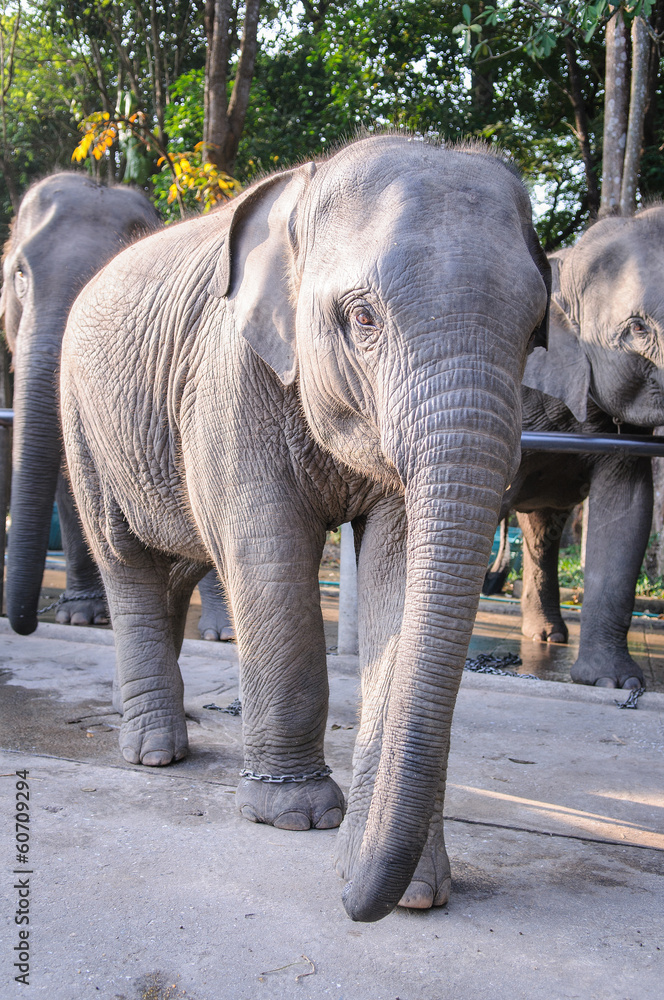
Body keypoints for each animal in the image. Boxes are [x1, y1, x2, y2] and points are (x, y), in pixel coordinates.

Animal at [59, 135, 549, 921]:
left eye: (536, 331)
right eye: (364, 318)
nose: (350, 904)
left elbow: (397, 576)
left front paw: (412, 886)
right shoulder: (229, 378)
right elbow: (268, 557)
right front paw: (295, 818)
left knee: (178, 563)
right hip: (83, 417)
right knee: (125, 554)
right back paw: (154, 751)